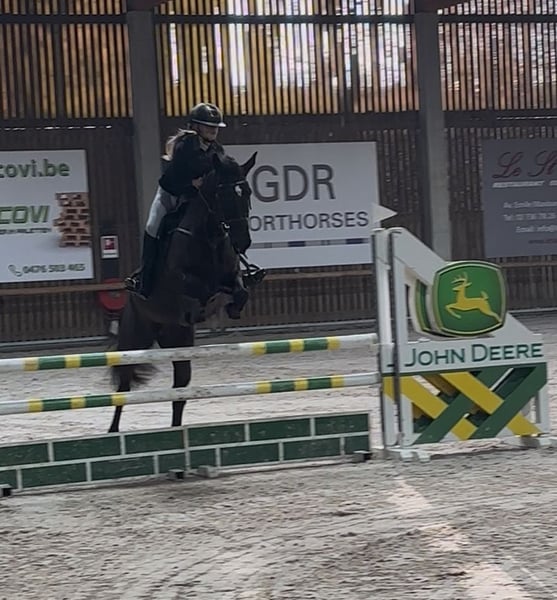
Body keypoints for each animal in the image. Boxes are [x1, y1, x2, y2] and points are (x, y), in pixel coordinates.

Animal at [108, 150, 263, 433]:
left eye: (246, 192)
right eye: (223, 195)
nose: (243, 242)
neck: (211, 236)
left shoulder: (233, 277)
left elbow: (239, 292)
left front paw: (233, 307)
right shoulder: (183, 281)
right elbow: (200, 289)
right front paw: (198, 309)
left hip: (179, 343)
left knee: (179, 390)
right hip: (136, 336)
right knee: (124, 385)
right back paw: (112, 431)